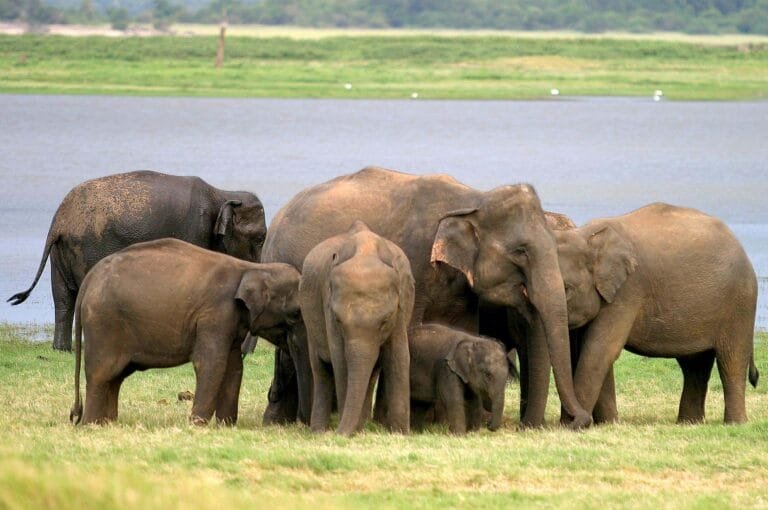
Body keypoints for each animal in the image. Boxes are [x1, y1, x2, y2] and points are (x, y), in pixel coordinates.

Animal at [8, 170, 267, 351]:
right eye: (260, 238)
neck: (224, 193)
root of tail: (59, 221)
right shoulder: (195, 231)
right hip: (87, 247)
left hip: (60, 252)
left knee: (62, 298)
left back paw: (61, 350)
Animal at [69, 238, 300, 426]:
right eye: (296, 314)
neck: (252, 267)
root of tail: (89, 278)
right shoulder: (216, 314)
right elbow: (211, 363)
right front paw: (197, 425)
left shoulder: (231, 321)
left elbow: (234, 367)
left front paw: (226, 426)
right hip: (103, 323)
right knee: (102, 374)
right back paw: (92, 425)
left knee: (116, 376)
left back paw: (107, 423)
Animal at [301, 221, 414, 436]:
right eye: (338, 320)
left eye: (385, 321)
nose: (338, 434)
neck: (365, 252)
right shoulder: (327, 305)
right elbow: (340, 360)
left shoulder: (401, 307)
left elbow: (399, 356)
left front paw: (400, 434)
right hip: (309, 318)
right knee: (320, 369)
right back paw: (319, 431)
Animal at [552, 202, 758, 424]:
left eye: (567, 289)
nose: (576, 420)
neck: (585, 235)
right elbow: (592, 349)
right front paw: (607, 424)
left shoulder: (628, 290)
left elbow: (600, 349)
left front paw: (571, 426)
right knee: (695, 365)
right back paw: (688, 423)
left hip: (740, 302)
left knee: (731, 360)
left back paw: (735, 423)